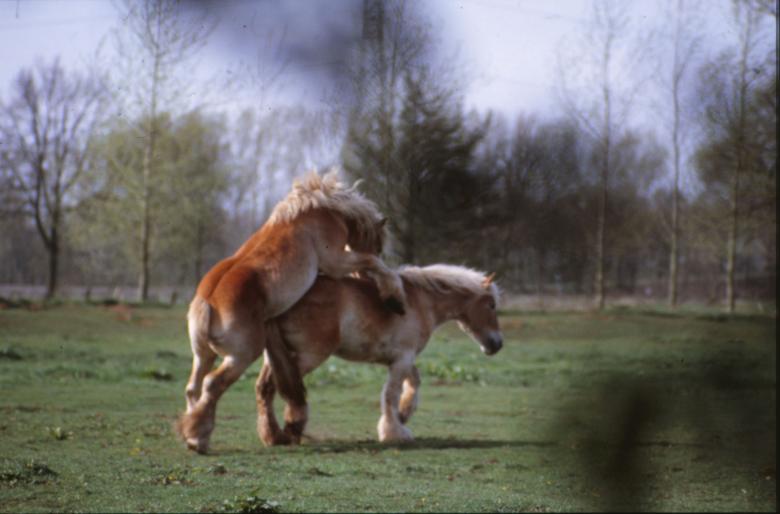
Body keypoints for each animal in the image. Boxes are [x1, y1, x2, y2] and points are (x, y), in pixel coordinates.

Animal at [177, 169, 407, 454]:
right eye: (377, 245)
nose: (360, 281)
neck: (322, 212)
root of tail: (208, 302)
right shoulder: (337, 262)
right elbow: (373, 263)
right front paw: (395, 297)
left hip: (203, 355)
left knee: (194, 388)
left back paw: (194, 435)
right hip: (241, 356)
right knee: (212, 384)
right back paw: (199, 439)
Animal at [256, 264, 502, 445]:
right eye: (491, 305)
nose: (497, 344)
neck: (420, 300)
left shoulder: (400, 359)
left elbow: (413, 382)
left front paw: (403, 415)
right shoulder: (403, 359)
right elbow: (390, 394)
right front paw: (394, 432)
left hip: (276, 357)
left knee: (264, 388)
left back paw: (273, 435)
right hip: (307, 357)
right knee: (275, 388)